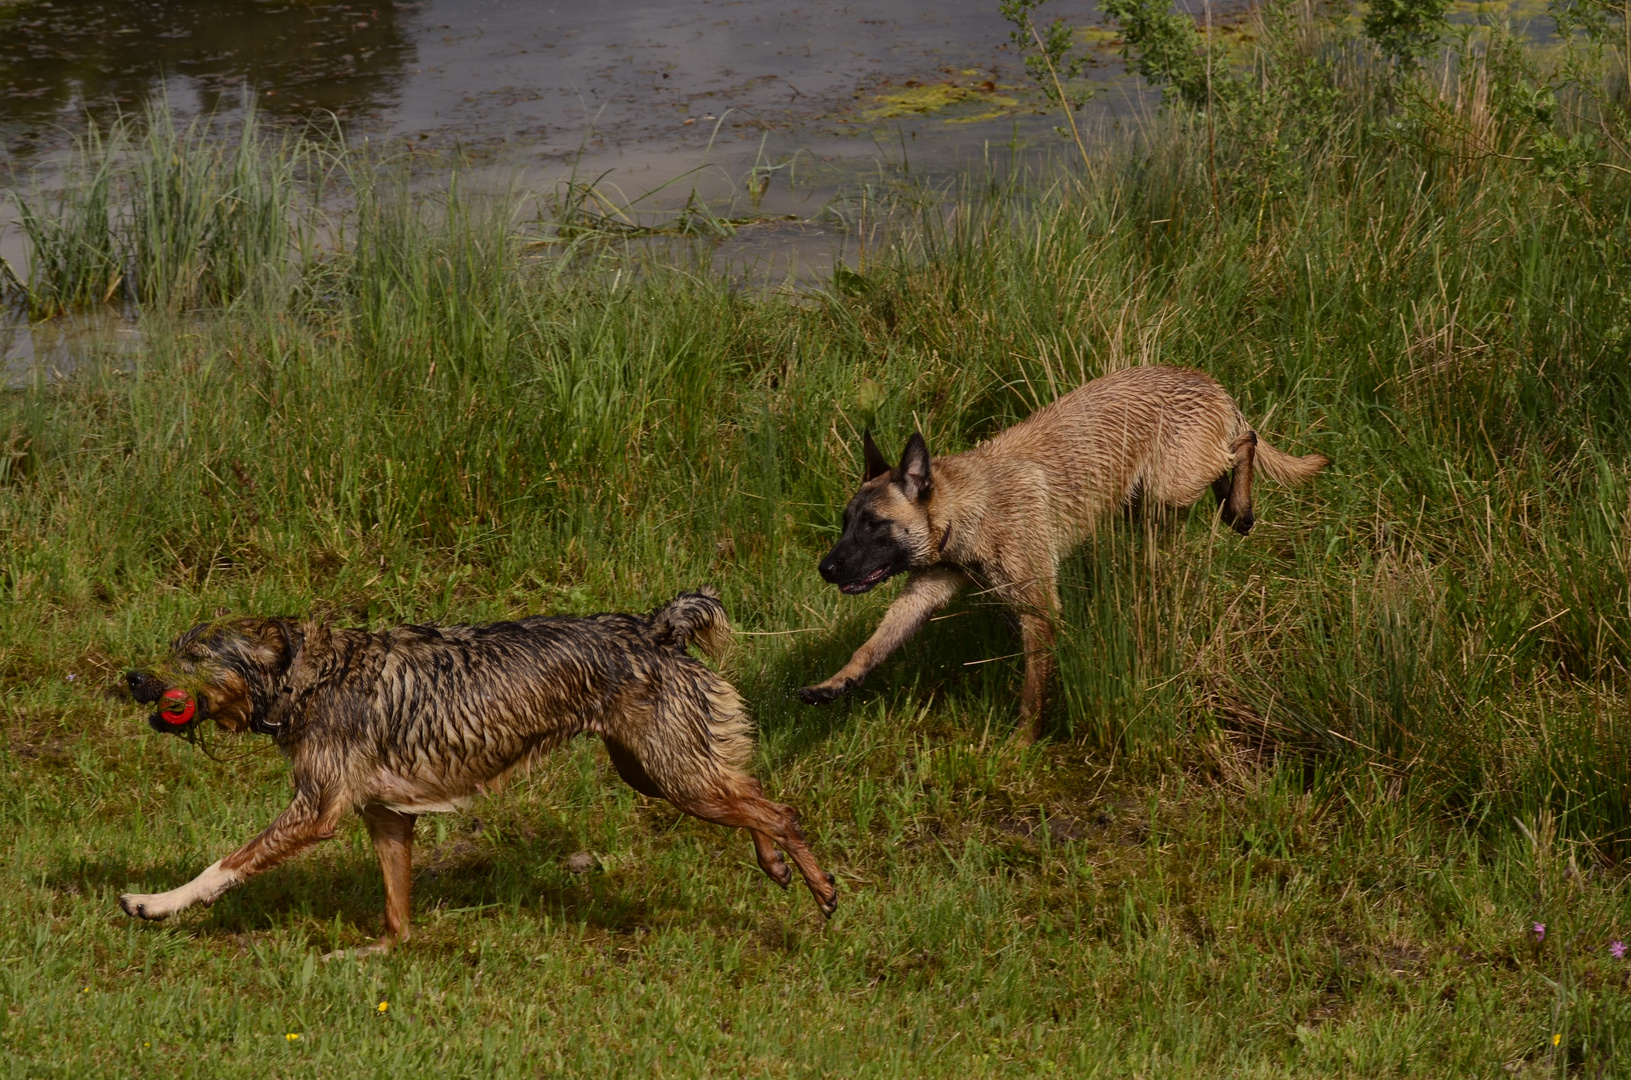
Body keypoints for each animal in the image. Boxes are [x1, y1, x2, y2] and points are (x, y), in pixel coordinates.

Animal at [799, 363, 1324, 743]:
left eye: (873, 525)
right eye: (846, 523)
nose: (825, 569)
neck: (966, 507)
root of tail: (1207, 381)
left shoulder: (1039, 611)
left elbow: (1033, 693)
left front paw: (1019, 748)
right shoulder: (922, 595)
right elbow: (873, 645)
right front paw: (835, 683)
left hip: (1170, 485)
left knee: (1243, 442)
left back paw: (1239, 506)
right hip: (1147, 504)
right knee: (1233, 452)